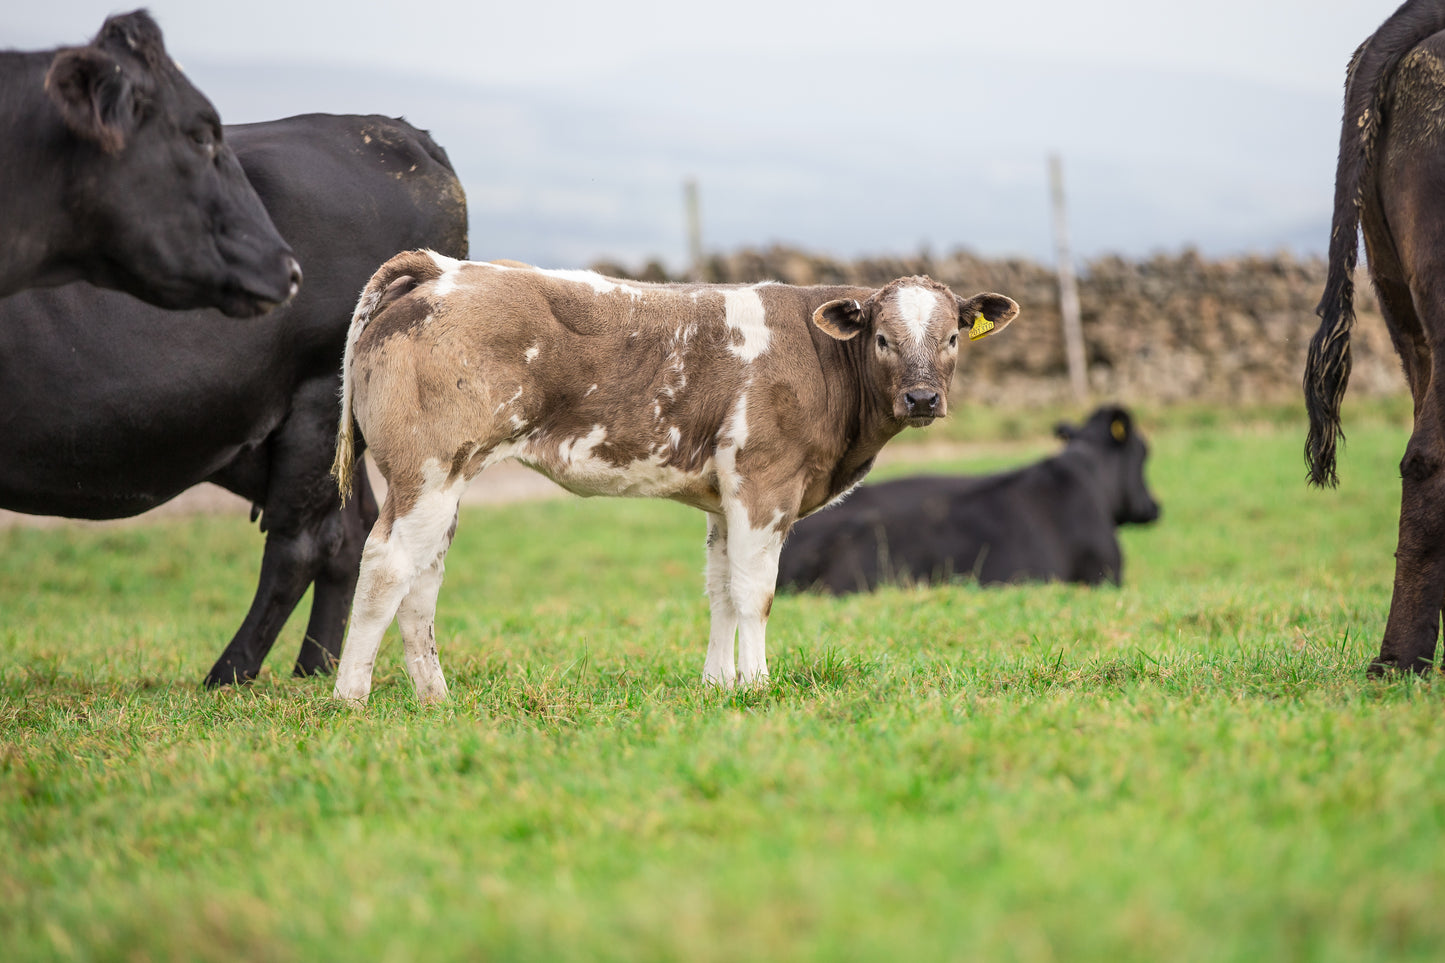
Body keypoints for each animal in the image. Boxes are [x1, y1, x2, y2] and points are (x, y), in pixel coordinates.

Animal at [0, 113, 468, 686]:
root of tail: (390, 129)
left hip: (315, 402)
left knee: (308, 542)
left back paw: (230, 673)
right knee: (354, 531)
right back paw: (315, 668)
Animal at [328, 253, 1019, 702]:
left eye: (952, 336)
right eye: (881, 338)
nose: (923, 398)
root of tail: (445, 268)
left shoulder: (725, 500)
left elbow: (720, 590)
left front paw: (718, 686)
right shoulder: (764, 485)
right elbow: (755, 593)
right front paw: (756, 685)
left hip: (447, 481)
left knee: (423, 579)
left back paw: (436, 698)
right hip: (426, 470)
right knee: (387, 565)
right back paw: (351, 696)